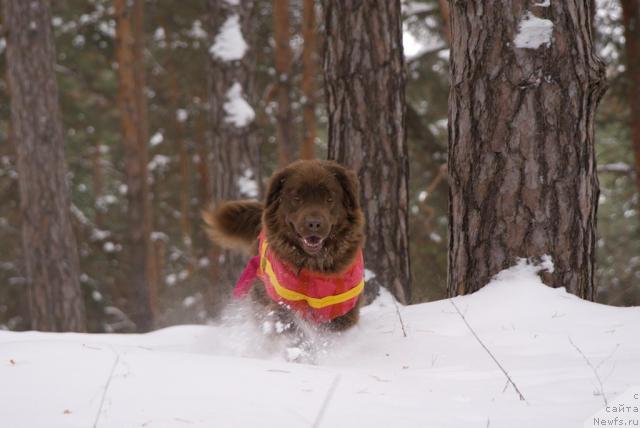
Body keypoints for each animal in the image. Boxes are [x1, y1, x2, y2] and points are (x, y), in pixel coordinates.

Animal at [205, 160, 364, 332]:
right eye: (297, 198)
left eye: (329, 199)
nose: (314, 224)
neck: (315, 265)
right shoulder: (283, 300)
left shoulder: (343, 305)